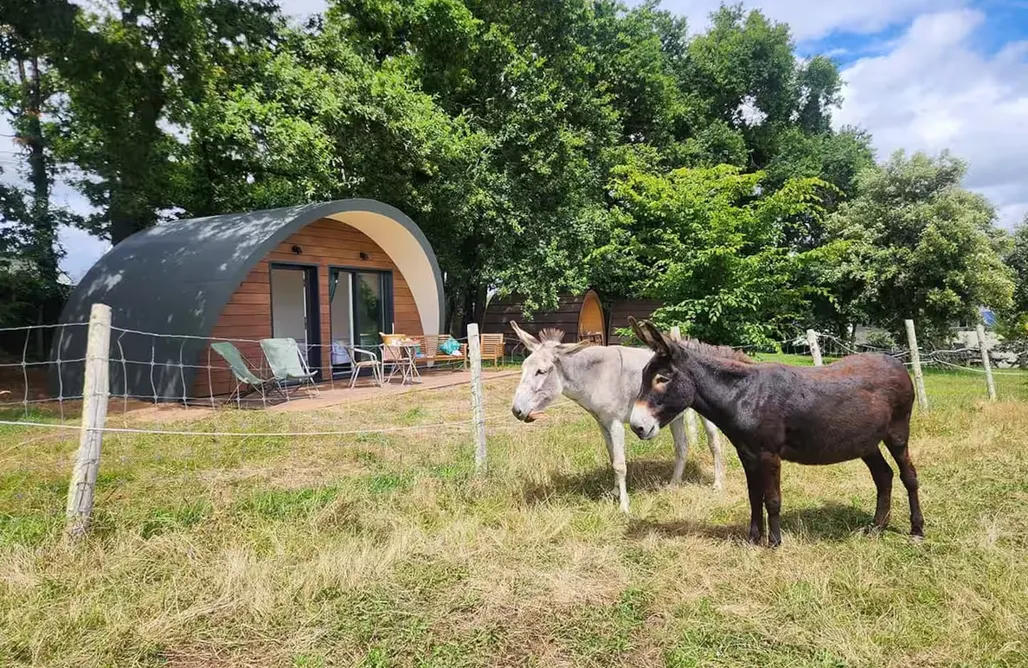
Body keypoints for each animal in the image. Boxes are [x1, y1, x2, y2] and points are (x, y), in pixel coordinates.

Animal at [508, 321, 748, 512]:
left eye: (541, 371)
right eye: (523, 368)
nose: (516, 411)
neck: (596, 376)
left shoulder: (615, 424)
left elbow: (620, 464)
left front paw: (624, 506)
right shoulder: (602, 423)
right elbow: (612, 456)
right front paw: (615, 492)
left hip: (706, 416)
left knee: (714, 444)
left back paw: (717, 484)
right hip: (674, 416)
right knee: (682, 447)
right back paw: (673, 484)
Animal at [627, 317, 923, 547]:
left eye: (662, 378)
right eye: (643, 376)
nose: (636, 426)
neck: (744, 394)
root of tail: (895, 363)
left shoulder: (769, 455)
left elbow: (772, 499)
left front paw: (775, 542)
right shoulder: (747, 455)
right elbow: (754, 497)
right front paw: (753, 539)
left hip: (897, 433)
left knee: (909, 476)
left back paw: (917, 530)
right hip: (866, 442)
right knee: (883, 476)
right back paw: (877, 527)